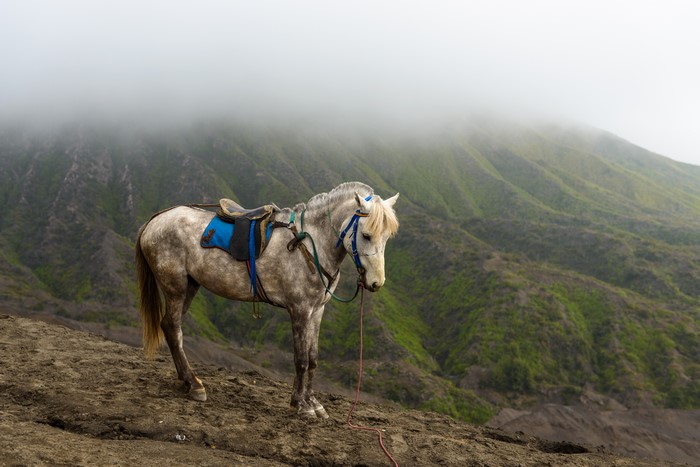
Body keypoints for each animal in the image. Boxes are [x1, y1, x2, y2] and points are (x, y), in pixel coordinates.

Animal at [135, 182, 399, 418]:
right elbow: (301, 359)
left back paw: (186, 380)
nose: (376, 282)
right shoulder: (300, 310)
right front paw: (301, 405)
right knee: (174, 329)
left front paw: (313, 402)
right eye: (366, 235)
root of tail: (154, 221)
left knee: (170, 327)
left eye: (387, 237)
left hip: (190, 286)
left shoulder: (317, 310)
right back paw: (194, 384)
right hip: (176, 288)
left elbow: (313, 358)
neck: (309, 243)